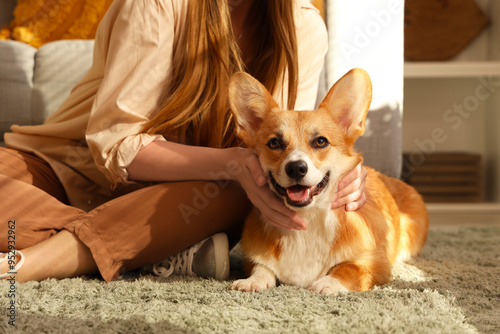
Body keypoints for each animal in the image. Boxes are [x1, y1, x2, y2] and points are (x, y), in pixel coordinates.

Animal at [229, 68, 428, 294]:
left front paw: (328, 283)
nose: (296, 168)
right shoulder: (255, 259)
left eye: (321, 141)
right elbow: (262, 267)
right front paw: (253, 281)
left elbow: (349, 268)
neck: (308, 219)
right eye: (274, 143)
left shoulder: (375, 263)